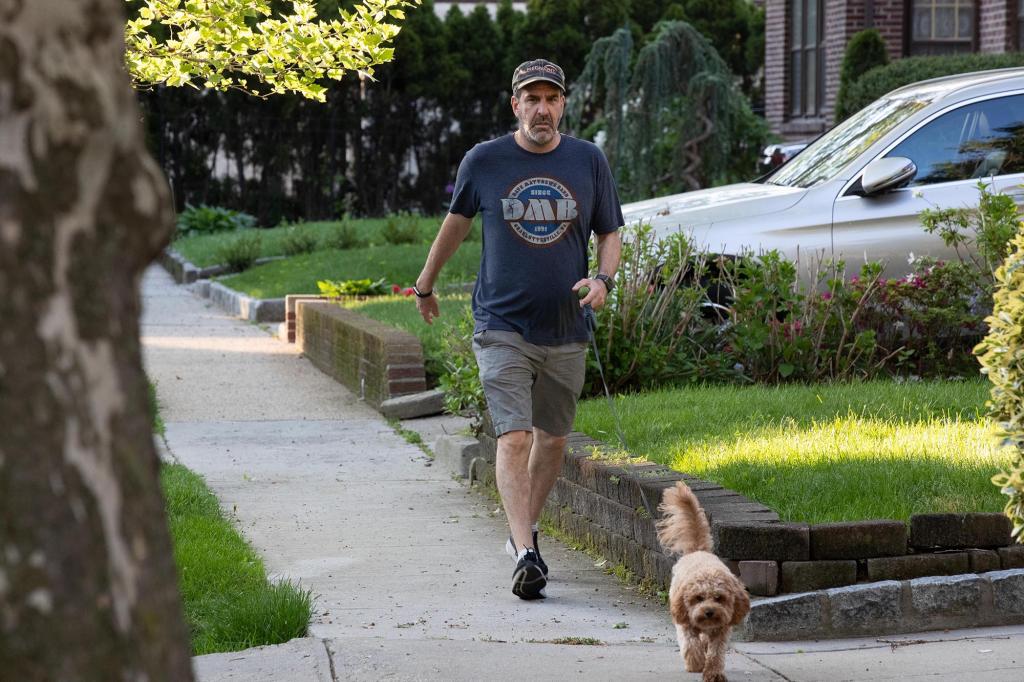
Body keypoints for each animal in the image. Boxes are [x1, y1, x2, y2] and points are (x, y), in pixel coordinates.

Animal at [659, 477, 749, 679]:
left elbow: (716, 652)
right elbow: (691, 645)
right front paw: (695, 663)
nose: (709, 612)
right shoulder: (685, 622)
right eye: (698, 598)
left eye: (719, 598)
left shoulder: (721, 630)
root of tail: (698, 551)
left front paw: (713, 672)